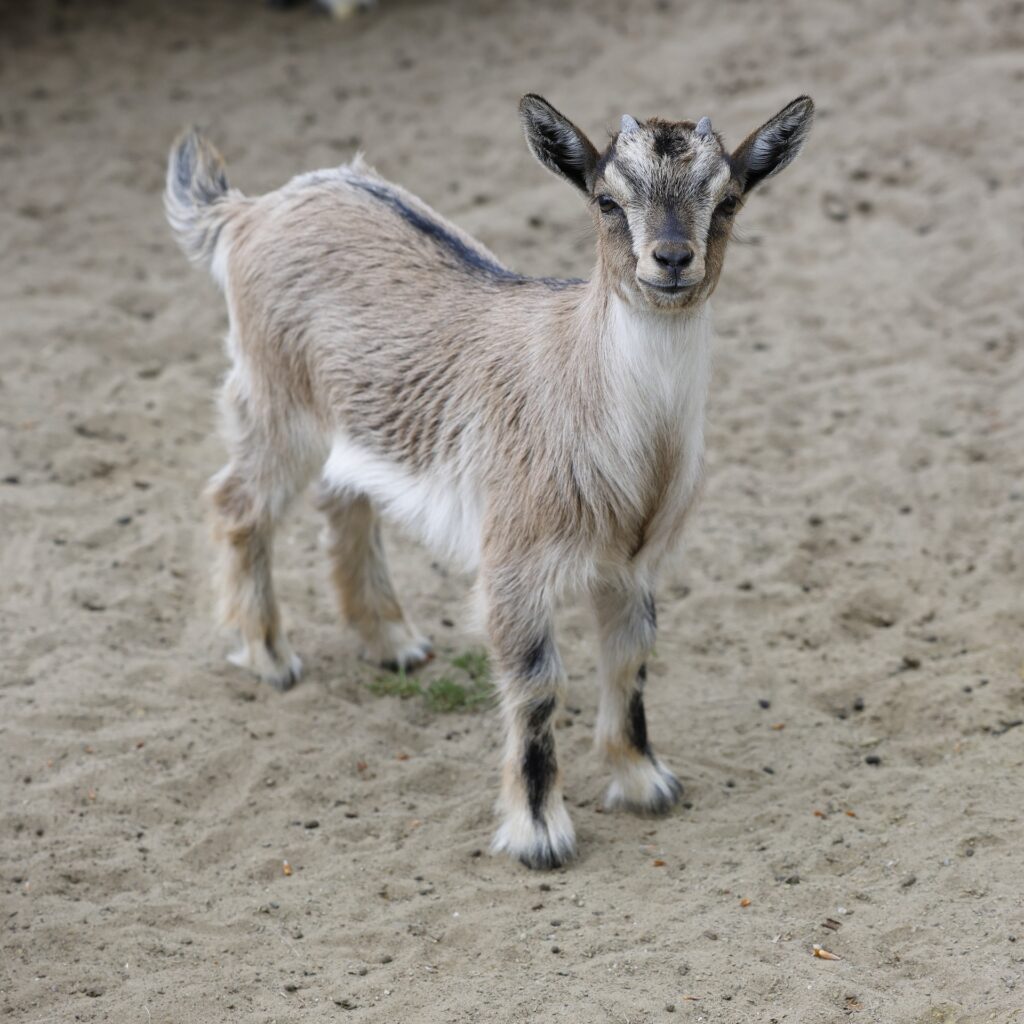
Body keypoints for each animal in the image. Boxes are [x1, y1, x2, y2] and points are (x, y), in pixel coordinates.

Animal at [167, 96, 815, 868]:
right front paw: (538, 832)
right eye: (606, 199)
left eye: (728, 200)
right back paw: (269, 656)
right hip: (277, 403)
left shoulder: (633, 563)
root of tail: (249, 210)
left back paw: (391, 640)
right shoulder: (513, 561)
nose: (672, 260)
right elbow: (536, 684)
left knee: (344, 497)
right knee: (236, 503)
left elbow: (630, 659)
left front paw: (643, 781)